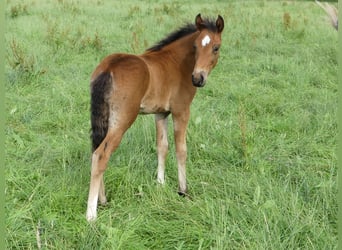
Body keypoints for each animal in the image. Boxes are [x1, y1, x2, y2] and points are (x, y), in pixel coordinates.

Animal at [85, 13, 224, 221]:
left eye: (216, 47)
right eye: (195, 47)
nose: (198, 79)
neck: (177, 63)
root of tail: (108, 68)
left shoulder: (160, 114)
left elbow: (162, 146)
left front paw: (160, 183)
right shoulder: (181, 111)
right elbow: (181, 150)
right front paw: (183, 191)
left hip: (104, 118)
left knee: (95, 148)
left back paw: (102, 200)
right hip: (123, 120)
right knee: (101, 155)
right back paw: (91, 214)